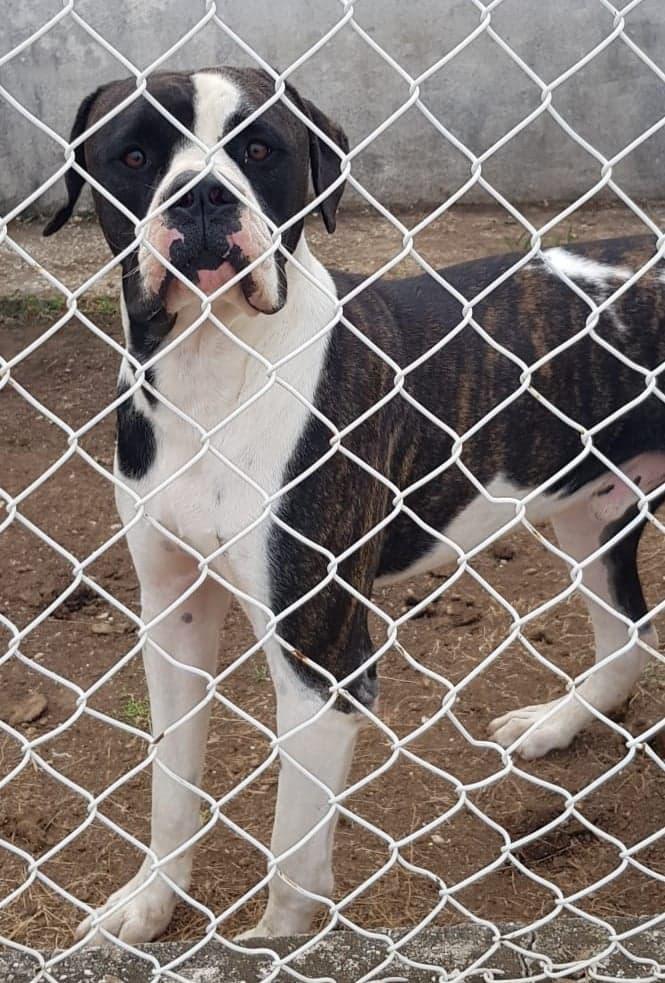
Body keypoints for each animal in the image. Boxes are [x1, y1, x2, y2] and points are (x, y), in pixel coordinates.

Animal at [45, 65, 664, 940]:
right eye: (132, 155)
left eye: (261, 149)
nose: (202, 198)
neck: (214, 367)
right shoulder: (172, 611)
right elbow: (170, 781)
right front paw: (149, 899)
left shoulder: (323, 664)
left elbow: (290, 865)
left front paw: (270, 949)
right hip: (591, 508)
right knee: (624, 634)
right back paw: (554, 721)